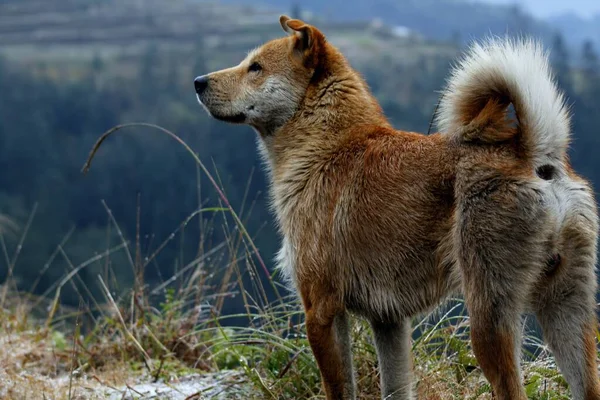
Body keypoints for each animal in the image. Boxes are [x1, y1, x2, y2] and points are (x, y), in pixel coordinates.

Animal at [193, 15, 600, 400]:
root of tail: (534, 153)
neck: (327, 148)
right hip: (566, 311)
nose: (198, 82)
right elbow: (396, 387)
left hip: (489, 318)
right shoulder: (388, 321)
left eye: (256, 67)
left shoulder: (322, 310)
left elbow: (340, 389)